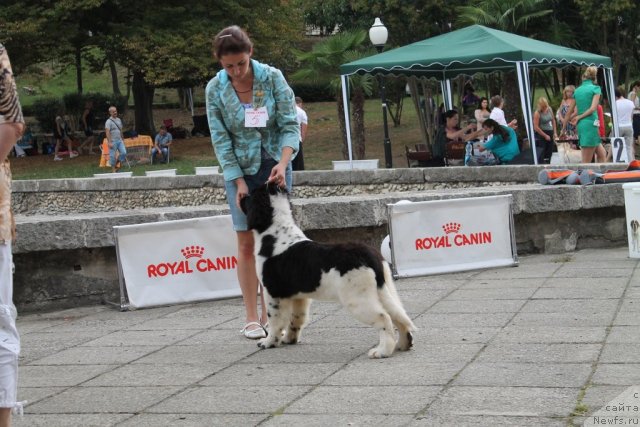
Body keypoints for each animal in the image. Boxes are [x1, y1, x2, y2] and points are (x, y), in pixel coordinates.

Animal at [240, 183, 416, 358]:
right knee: (398, 315)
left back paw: (382, 351)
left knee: (384, 318)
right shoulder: (298, 295)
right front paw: (289, 339)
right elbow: (296, 318)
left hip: (357, 298)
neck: (274, 235)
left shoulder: (273, 292)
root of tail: (369, 256)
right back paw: (403, 344)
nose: (240, 196)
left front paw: (268, 342)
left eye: (250, 195)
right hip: (382, 290)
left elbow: (275, 320)